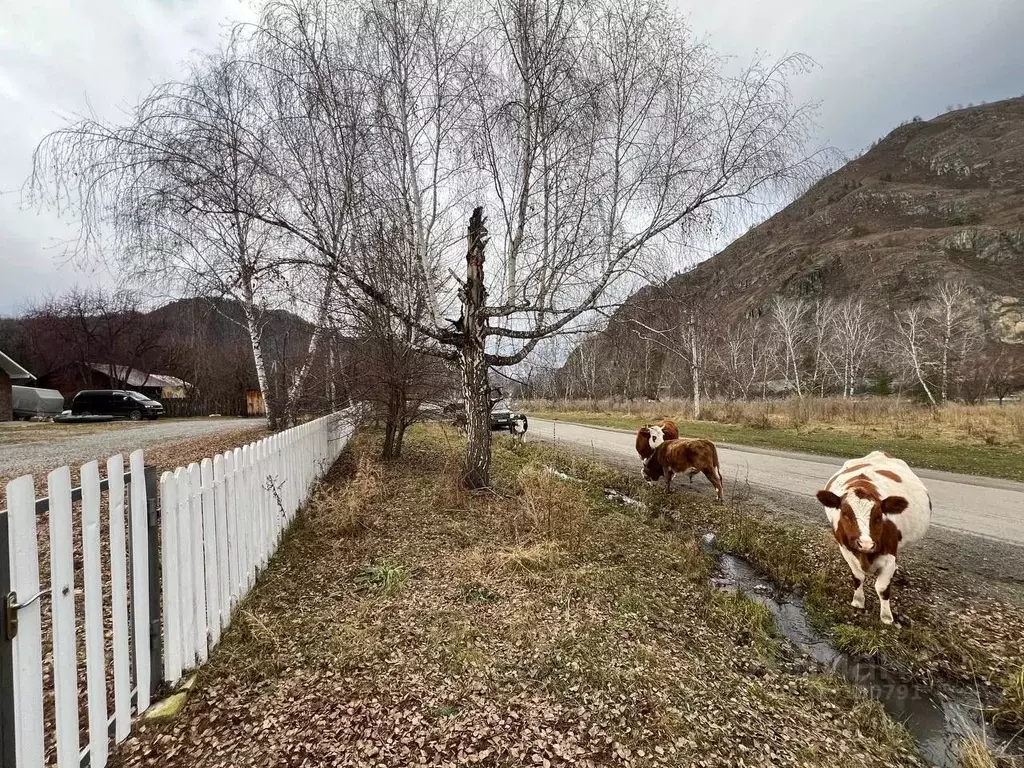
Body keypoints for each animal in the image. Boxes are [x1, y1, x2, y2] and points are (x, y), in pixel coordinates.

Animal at [811, 450, 933, 626]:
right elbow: (857, 577)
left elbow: (882, 588)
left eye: (878, 515)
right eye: (845, 513)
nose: (866, 544)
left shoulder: (890, 554)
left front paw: (887, 617)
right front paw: (858, 601)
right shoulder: (846, 549)